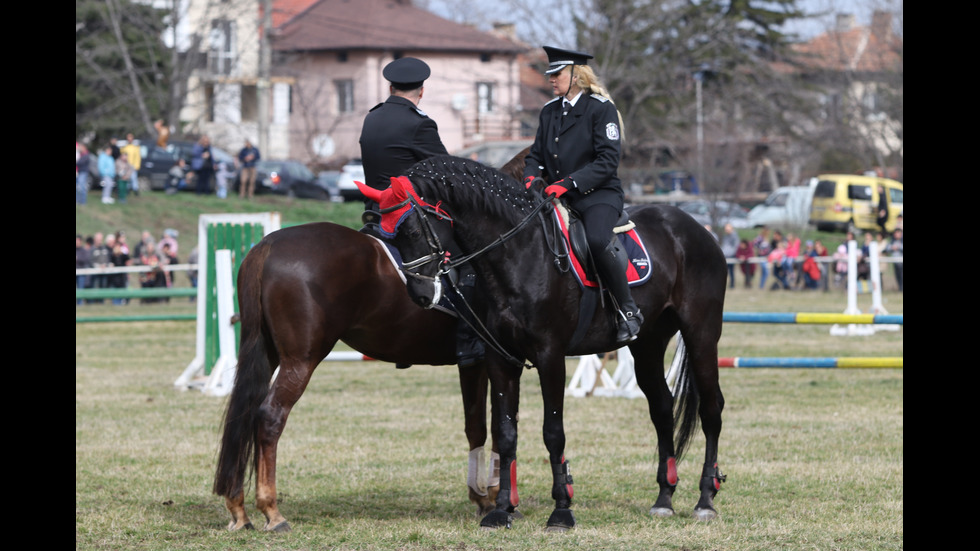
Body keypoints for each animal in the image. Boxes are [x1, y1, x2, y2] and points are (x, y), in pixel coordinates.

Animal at [213, 222, 506, 532]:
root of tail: (267, 246)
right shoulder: (489, 359)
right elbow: (493, 426)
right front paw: (493, 498)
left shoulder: (477, 363)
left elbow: (480, 426)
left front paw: (485, 496)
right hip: (299, 362)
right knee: (270, 416)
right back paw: (272, 511)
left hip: (266, 354)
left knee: (244, 414)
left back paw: (239, 510)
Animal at [360, 154, 728, 532]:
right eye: (389, 234)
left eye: (412, 230)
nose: (420, 294)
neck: (518, 254)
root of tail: (697, 228)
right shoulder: (500, 358)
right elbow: (506, 432)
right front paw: (502, 509)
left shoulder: (551, 356)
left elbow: (553, 431)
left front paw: (562, 509)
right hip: (648, 345)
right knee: (662, 407)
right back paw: (664, 497)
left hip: (701, 335)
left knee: (711, 408)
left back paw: (705, 499)